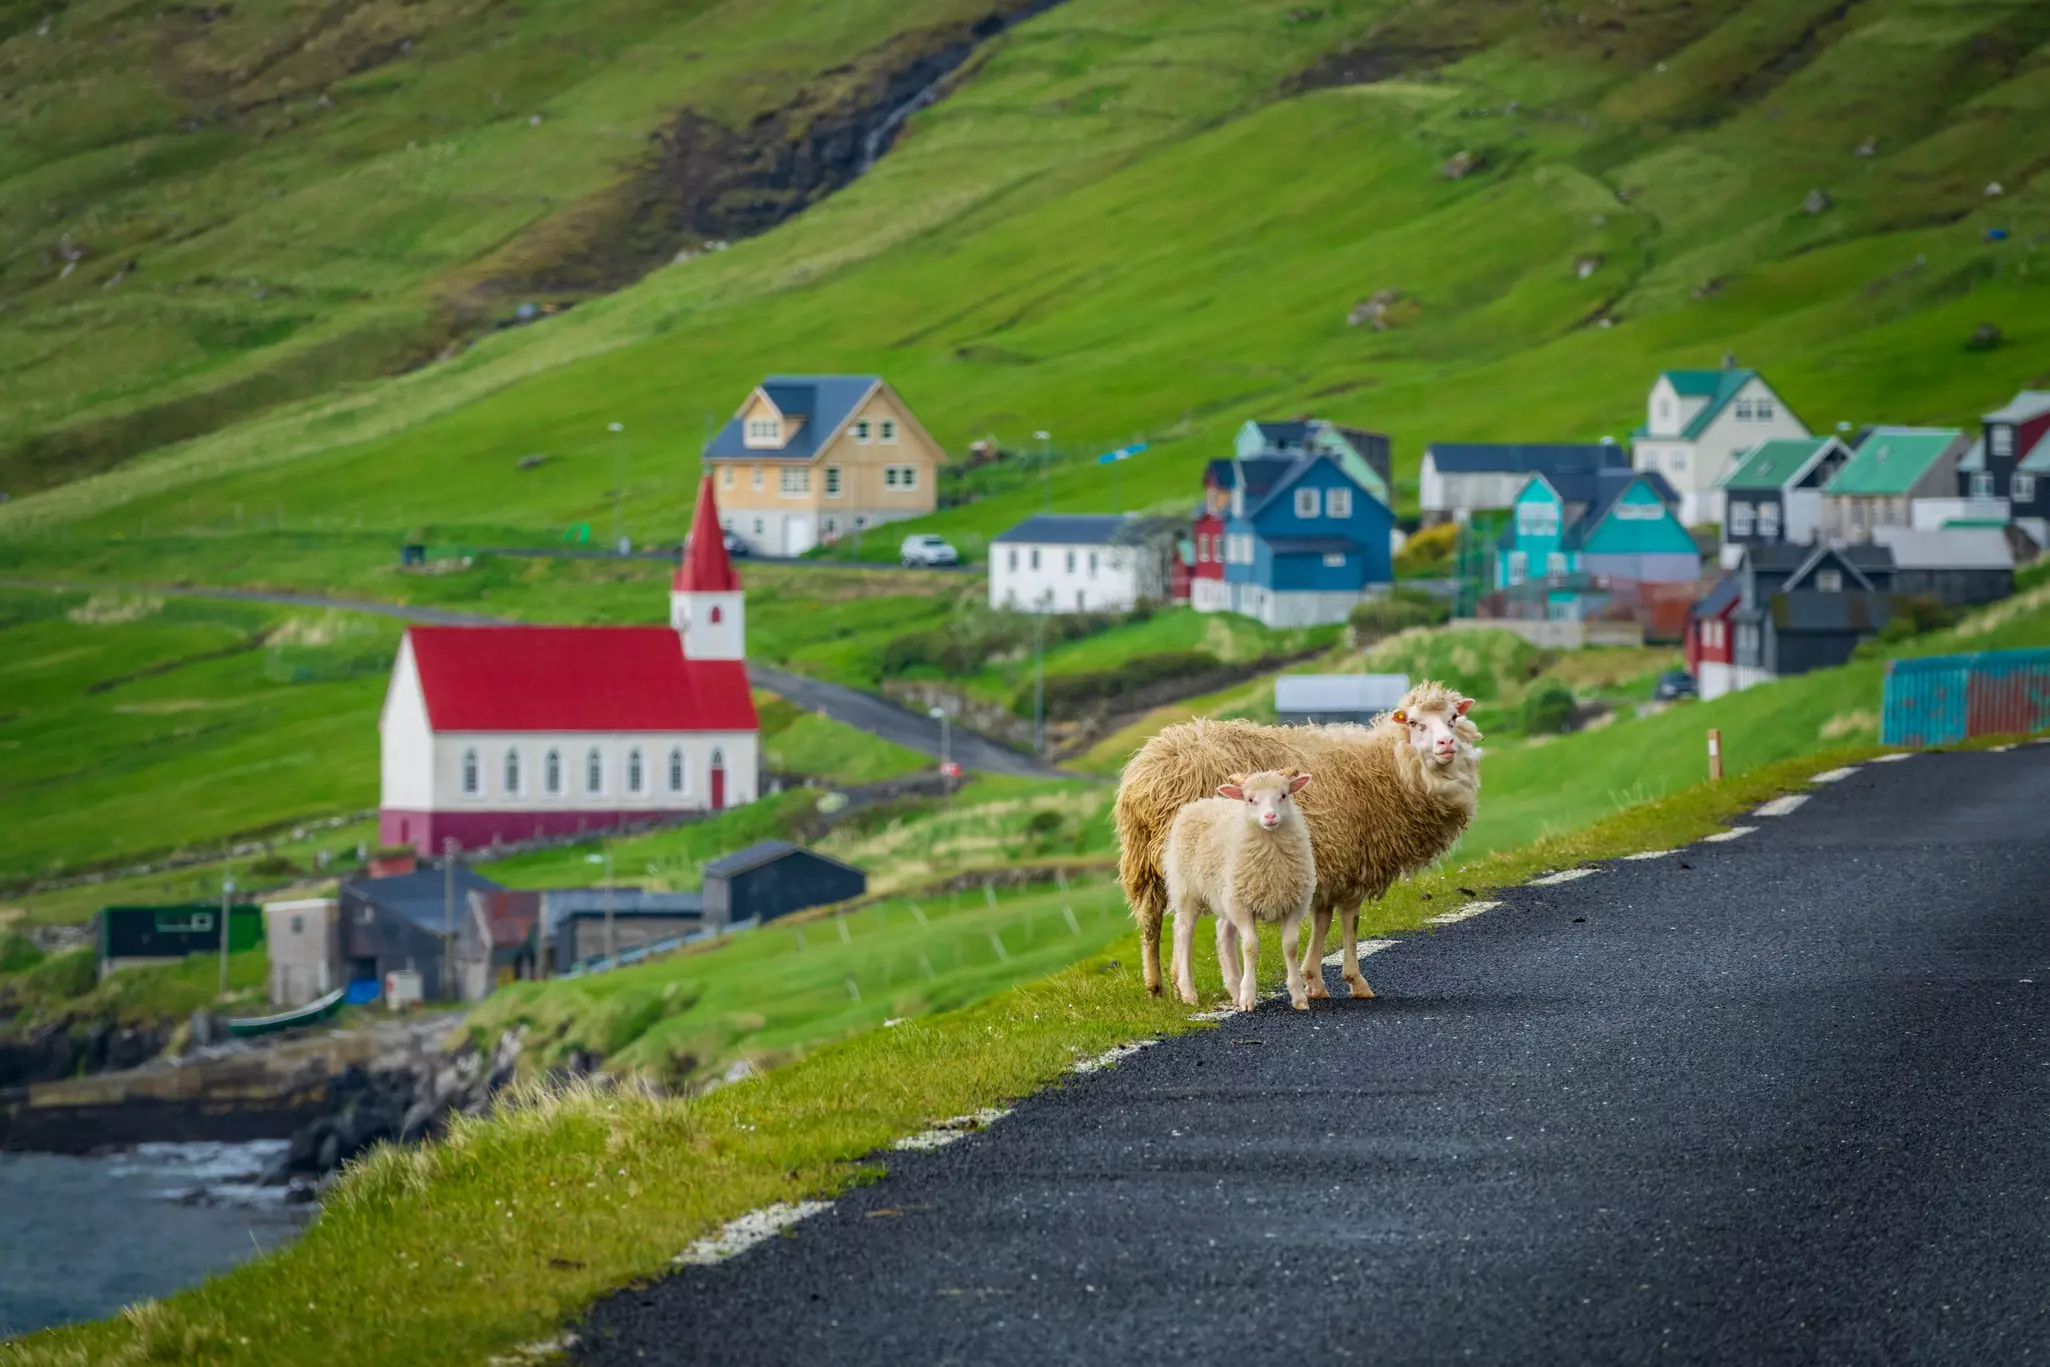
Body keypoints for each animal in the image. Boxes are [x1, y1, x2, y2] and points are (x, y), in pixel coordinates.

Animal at [1163, 768, 1318, 1011]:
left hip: (1228, 894)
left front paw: (1298, 996)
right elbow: (1250, 946)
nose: (1270, 817)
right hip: (1188, 891)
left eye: (1283, 795)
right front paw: (1248, 997)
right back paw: (1189, 992)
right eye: (1250, 799)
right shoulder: (1242, 907)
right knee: (1183, 933)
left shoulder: (1295, 905)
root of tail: (1197, 804)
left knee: (1223, 934)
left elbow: (1290, 946)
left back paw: (1234, 988)